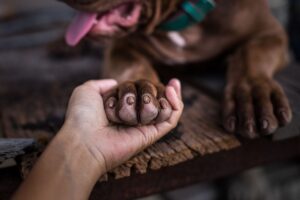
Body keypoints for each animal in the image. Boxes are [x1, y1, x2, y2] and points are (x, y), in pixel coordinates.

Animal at [61, 0, 292, 138]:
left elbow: (251, 53)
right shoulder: (121, 45)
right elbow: (133, 62)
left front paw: (251, 96)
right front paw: (137, 91)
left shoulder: (270, 31)